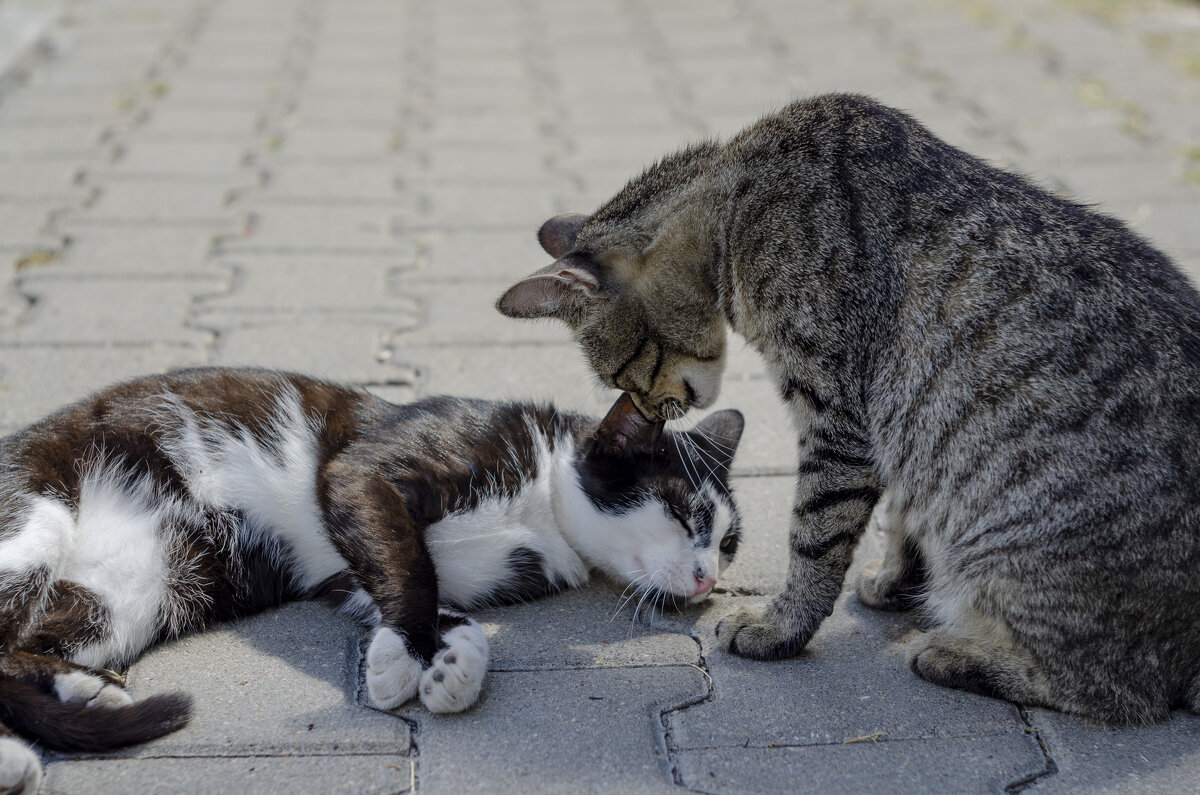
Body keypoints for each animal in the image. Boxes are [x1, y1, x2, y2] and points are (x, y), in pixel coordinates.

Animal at [0, 367, 739, 792]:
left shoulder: (353, 576)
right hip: (33, 523)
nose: (707, 577)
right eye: (684, 511)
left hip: (133, 592)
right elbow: (410, 569)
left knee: (18, 650)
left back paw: (85, 692)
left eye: (728, 542)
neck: (543, 505)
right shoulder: (364, 472)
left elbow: (432, 596)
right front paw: (399, 661)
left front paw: (452, 669)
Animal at [496, 93, 1200, 730]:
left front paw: (780, 628)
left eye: (622, 375)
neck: (738, 207)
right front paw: (899, 580)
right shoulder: (904, 423)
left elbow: (815, 538)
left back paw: (956, 655)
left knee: (1123, 692)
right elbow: (905, 510)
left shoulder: (838, 420)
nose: (651, 411)